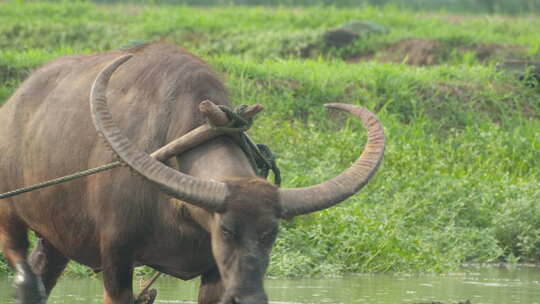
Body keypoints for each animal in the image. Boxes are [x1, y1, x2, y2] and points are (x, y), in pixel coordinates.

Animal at [2, 43, 386, 304]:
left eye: (271, 233)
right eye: (227, 230)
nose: (248, 297)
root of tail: (15, 101)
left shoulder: (214, 273)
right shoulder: (115, 257)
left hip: (56, 234)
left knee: (44, 267)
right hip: (11, 213)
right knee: (24, 272)